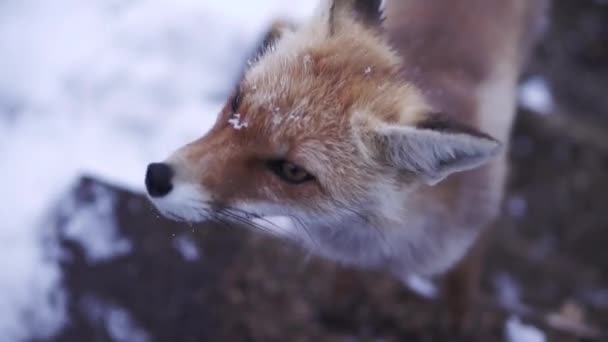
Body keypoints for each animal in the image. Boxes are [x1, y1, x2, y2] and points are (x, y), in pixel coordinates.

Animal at [146, 0, 548, 332]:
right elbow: (343, 282)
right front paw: (337, 309)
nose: (155, 177)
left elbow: (461, 291)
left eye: (293, 171)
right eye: (236, 103)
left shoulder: (474, 235)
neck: (380, 245)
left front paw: (459, 325)